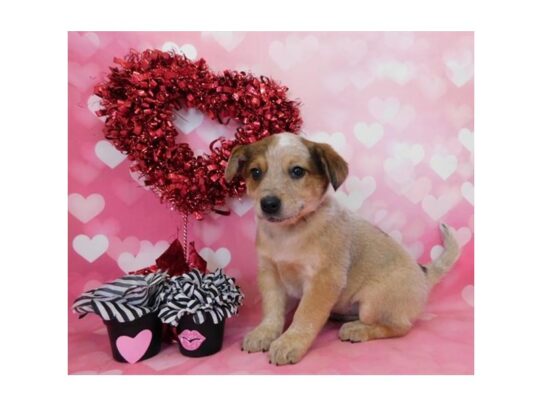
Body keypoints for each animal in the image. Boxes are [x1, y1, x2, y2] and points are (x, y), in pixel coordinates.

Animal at [225, 133, 464, 366]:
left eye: (297, 171)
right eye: (255, 172)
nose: (268, 204)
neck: (289, 234)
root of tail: (424, 274)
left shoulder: (323, 280)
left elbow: (305, 315)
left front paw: (289, 342)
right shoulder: (269, 273)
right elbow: (272, 310)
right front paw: (264, 333)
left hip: (373, 301)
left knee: (400, 326)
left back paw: (357, 329)